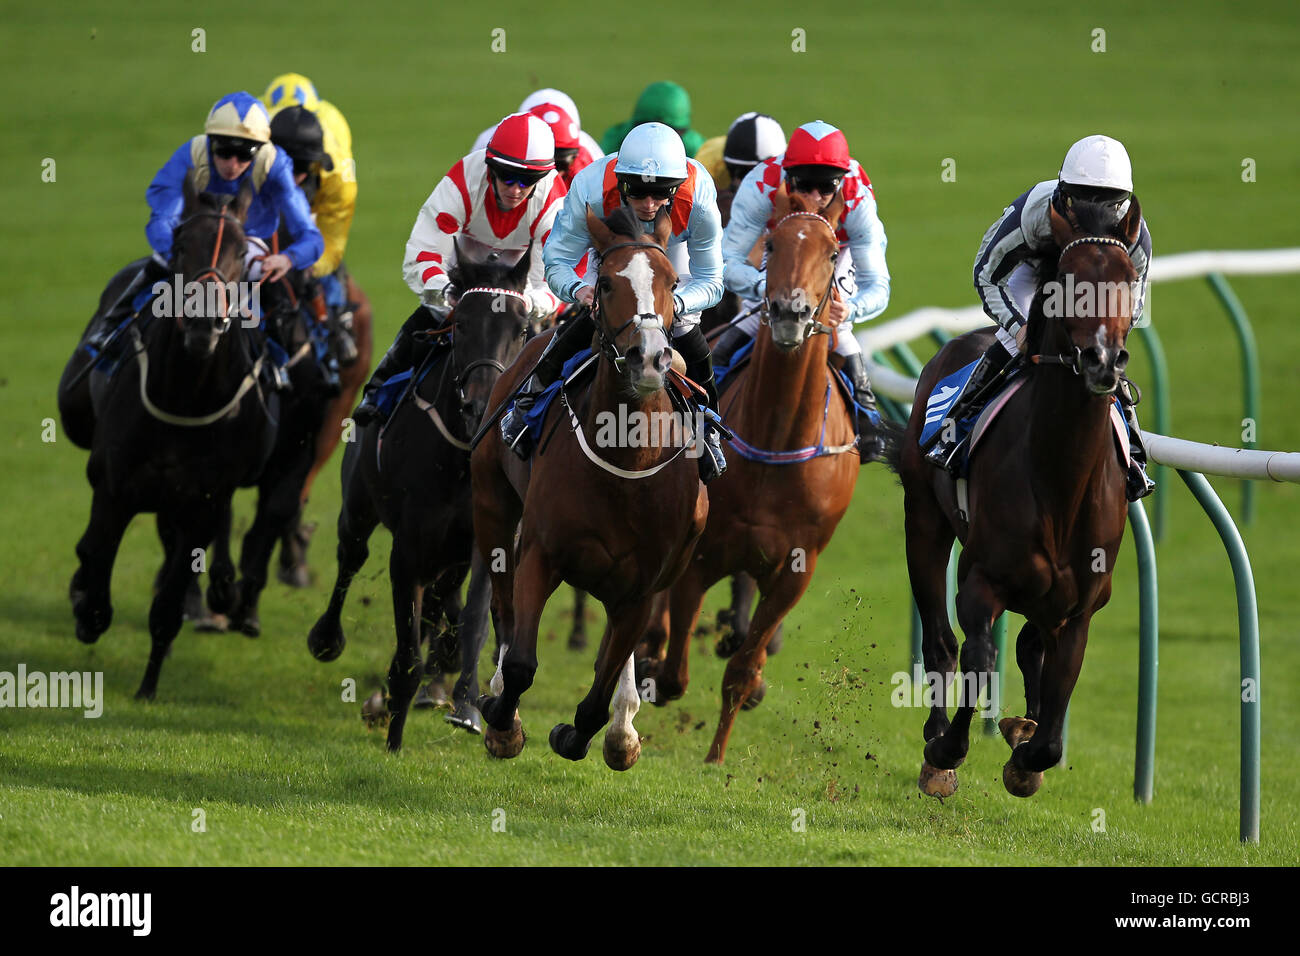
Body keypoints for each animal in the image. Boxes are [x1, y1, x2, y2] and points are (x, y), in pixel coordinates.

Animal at [61, 179, 279, 697]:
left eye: (242, 253)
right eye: (181, 245)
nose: (203, 322)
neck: (186, 397)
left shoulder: (200, 502)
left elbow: (169, 602)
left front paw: (147, 685)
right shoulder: (114, 486)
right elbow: (96, 562)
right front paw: (85, 606)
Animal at [309, 243, 533, 749]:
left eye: (521, 329)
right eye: (461, 323)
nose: (481, 405)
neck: (459, 458)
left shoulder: (485, 541)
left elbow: (473, 619)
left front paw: (466, 705)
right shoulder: (408, 549)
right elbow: (408, 647)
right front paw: (394, 732)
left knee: (444, 599)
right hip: (358, 508)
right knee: (350, 557)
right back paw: (327, 637)